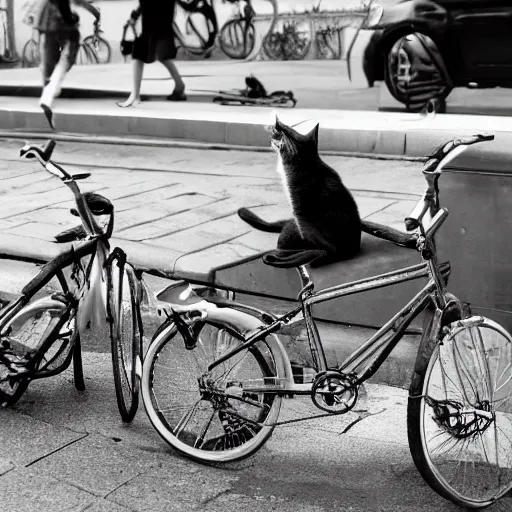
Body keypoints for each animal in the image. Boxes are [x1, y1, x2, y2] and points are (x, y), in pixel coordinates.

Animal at [238, 116, 418, 268]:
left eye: (280, 134)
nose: (271, 136)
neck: (309, 166)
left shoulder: (303, 218)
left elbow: (325, 247)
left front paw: (317, 257)